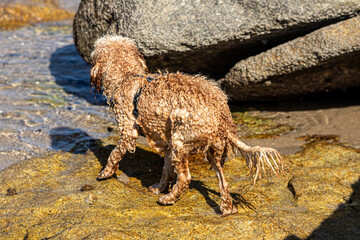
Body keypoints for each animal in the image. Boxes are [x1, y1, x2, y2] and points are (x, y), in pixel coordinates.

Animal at [90, 35, 286, 218]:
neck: (128, 76)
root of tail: (222, 117)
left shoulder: (127, 130)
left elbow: (114, 154)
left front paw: (105, 172)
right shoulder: (167, 144)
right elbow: (166, 170)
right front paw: (160, 187)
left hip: (181, 140)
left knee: (185, 178)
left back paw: (169, 199)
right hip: (211, 150)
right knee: (223, 180)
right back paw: (227, 208)